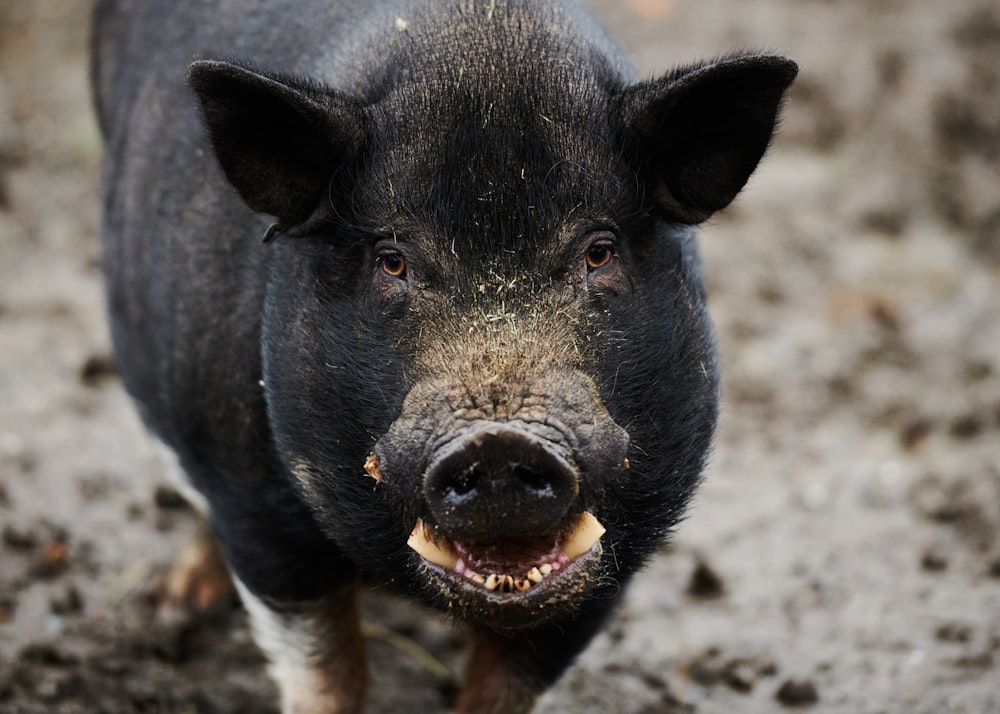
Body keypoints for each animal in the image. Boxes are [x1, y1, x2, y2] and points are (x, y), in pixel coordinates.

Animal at [94, 1, 796, 708]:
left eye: (599, 252)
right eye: (392, 260)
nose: (501, 441)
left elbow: (504, 685)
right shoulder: (258, 513)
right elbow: (326, 668)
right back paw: (180, 605)